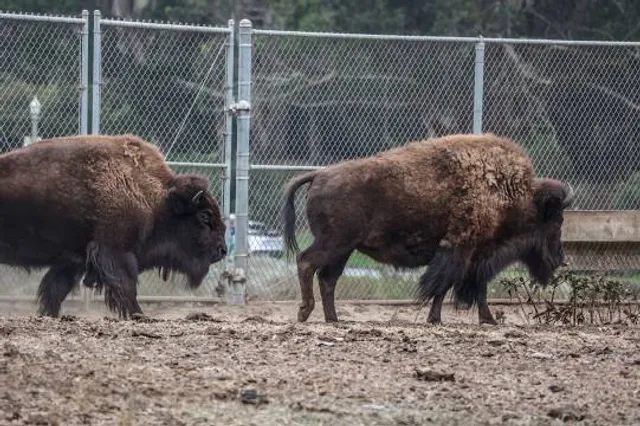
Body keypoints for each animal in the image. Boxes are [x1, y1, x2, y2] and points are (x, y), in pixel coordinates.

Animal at [0, 134, 227, 318]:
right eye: (205, 216)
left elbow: (55, 289)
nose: (222, 250)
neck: (158, 199)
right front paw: (138, 315)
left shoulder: (73, 260)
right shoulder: (116, 252)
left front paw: (49, 314)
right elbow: (126, 286)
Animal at [282, 133, 574, 325]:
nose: (560, 258)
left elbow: (470, 287)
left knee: (328, 278)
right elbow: (448, 286)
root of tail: (319, 174)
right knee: (307, 262)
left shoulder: (473, 257)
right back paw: (305, 312)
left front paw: (482, 319)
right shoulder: (462, 250)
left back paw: (334, 319)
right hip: (335, 243)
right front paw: (443, 319)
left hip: (344, 248)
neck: (511, 193)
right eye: (557, 220)